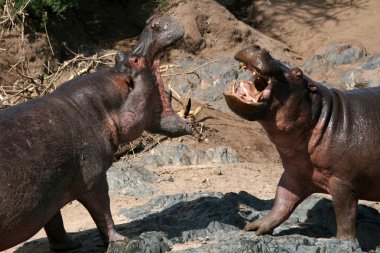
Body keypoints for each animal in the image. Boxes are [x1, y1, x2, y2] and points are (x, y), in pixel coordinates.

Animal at [0, 15, 190, 251]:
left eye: (119, 56)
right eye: (135, 60)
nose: (153, 22)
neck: (103, 105)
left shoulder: (50, 192)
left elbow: (55, 220)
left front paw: (70, 245)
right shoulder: (95, 179)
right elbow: (103, 212)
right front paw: (120, 239)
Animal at [223, 45, 380, 241]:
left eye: (299, 74)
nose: (260, 48)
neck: (323, 116)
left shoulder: (343, 183)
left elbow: (345, 216)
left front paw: (344, 242)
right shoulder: (294, 174)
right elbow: (281, 202)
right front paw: (255, 226)